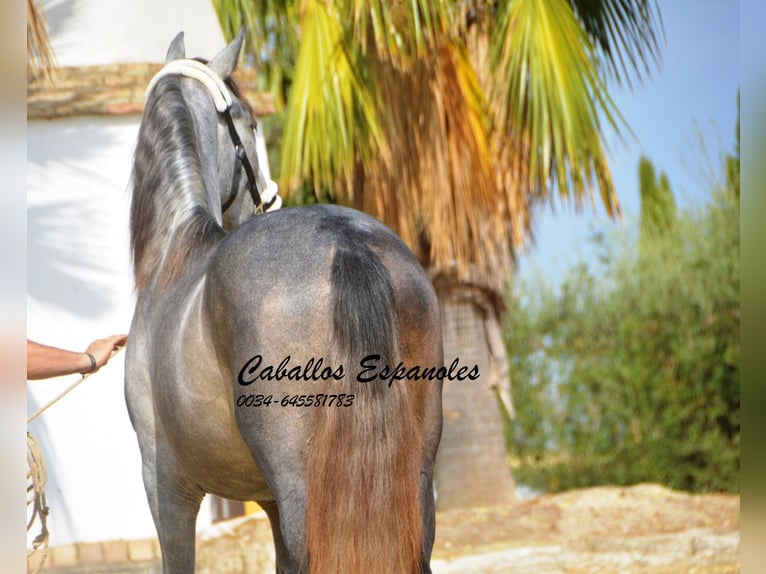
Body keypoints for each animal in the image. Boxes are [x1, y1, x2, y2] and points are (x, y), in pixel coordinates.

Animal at [123, 32, 440, 574]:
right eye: (250, 123)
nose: (266, 199)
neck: (174, 254)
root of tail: (345, 239)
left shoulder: (165, 487)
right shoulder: (263, 499)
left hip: (302, 495)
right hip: (415, 487)